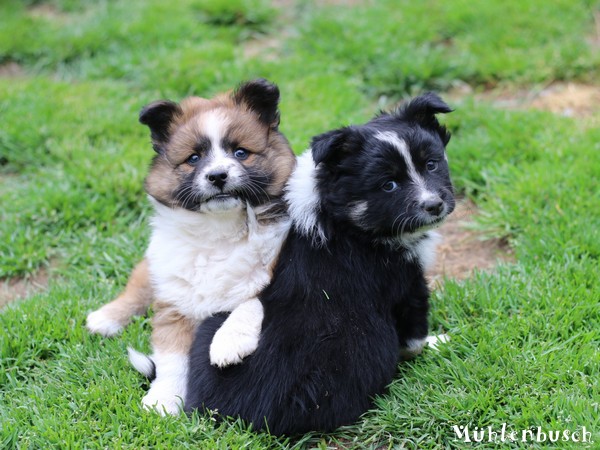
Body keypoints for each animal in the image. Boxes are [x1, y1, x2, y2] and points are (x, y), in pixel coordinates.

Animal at [85, 79, 296, 414]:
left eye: (241, 152)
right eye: (193, 158)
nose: (218, 176)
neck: (219, 231)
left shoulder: (281, 271)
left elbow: (251, 299)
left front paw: (228, 342)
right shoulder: (175, 303)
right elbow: (172, 357)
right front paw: (163, 400)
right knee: (139, 285)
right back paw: (105, 318)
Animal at [188, 93, 454, 434]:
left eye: (432, 164)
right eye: (389, 185)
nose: (434, 205)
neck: (342, 217)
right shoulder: (408, 283)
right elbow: (415, 335)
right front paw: (437, 341)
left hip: (207, 329)